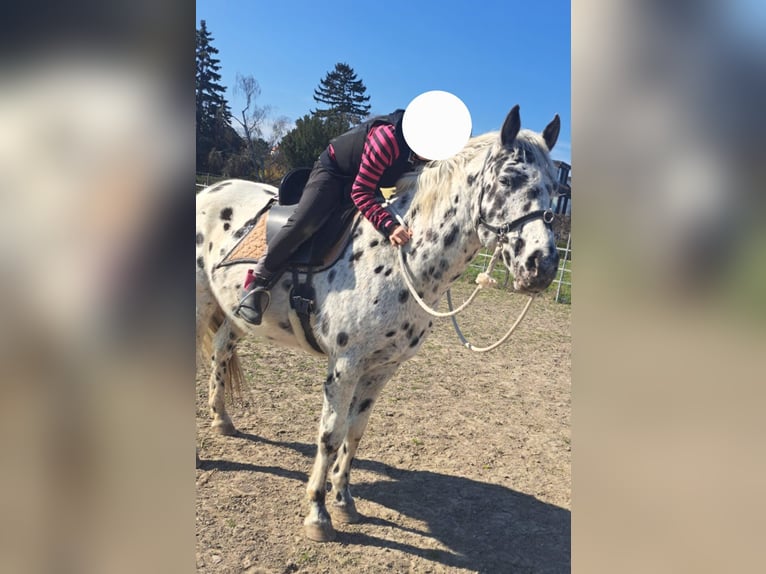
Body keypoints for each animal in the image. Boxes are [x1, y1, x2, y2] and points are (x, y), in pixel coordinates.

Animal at [196, 105, 562, 542]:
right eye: (508, 179)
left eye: (555, 188)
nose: (542, 266)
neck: (399, 256)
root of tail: (208, 191)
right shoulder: (345, 365)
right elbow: (331, 434)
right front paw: (318, 513)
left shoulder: (382, 367)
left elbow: (355, 432)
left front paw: (344, 501)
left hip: (236, 316)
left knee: (220, 351)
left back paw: (222, 420)